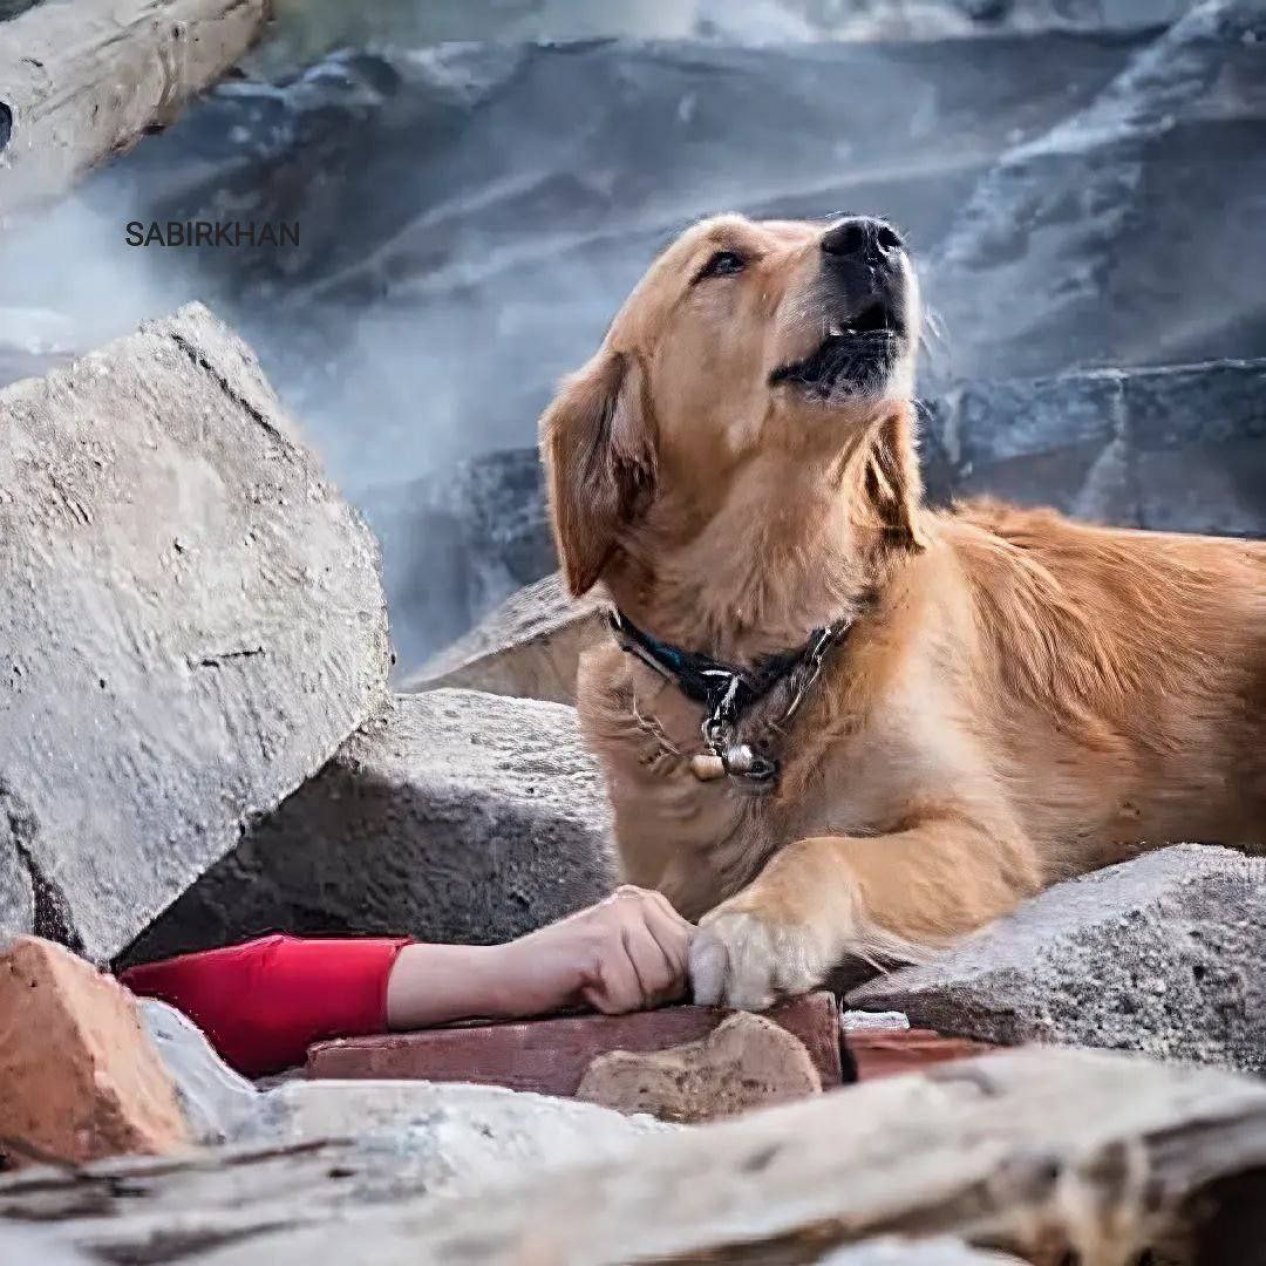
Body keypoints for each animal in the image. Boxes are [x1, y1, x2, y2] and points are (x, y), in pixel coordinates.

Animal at [536, 215, 1266, 1007]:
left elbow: (822, 847)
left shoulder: (980, 836)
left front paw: (760, 923)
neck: (760, 662)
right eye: (723, 261)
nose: (871, 237)